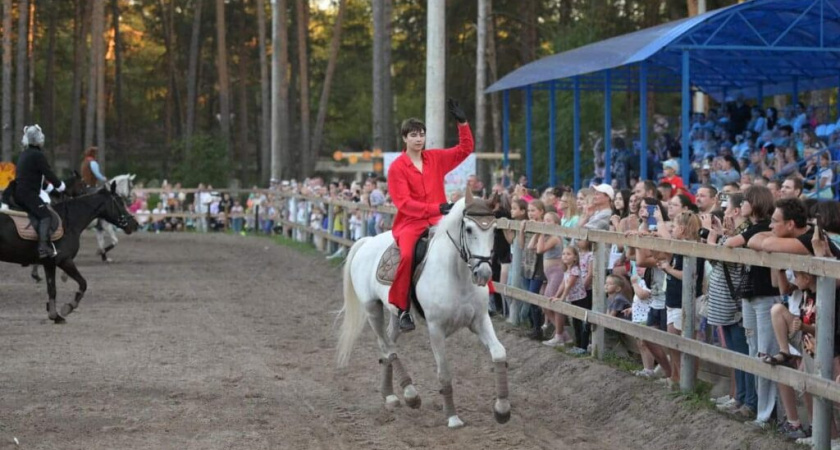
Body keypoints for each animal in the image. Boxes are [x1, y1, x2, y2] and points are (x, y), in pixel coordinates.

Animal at [0, 182, 138, 324]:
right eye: (120, 202)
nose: (134, 224)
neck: (69, 221)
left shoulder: (49, 264)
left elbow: (52, 289)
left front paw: (55, 316)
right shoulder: (64, 261)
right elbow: (83, 283)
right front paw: (68, 308)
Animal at [336, 191, 512, 428]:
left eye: (493, 229)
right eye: (468, 229)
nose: (483, 273)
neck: (456, 274)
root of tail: (367, 241)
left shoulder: (480, 321)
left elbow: (499, 353)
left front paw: (502, 409)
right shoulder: (436, 329)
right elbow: (444, 373)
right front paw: (453, 417)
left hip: (396, 314)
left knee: (389, 344)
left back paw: (390, 395)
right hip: (372, 308)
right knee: (387, 346)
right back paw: (410, 394)